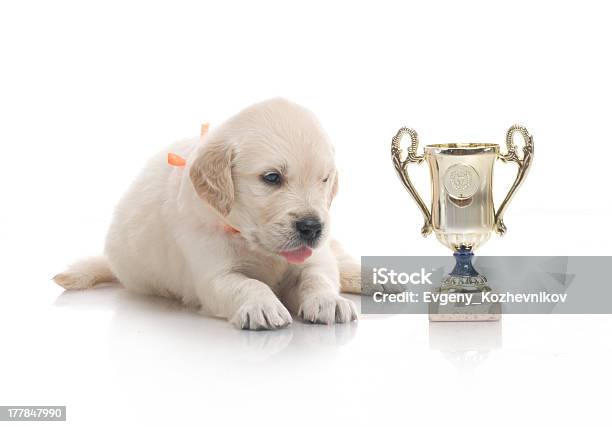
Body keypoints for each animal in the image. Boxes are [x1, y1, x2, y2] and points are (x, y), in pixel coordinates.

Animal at [53, 99, 358, 332]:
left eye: (324, 179)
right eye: (272, 177)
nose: (312, 227)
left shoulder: (316, 257)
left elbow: (318, 276)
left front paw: (329, 301)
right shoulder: (213, 275)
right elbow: (247, 284)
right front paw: (262, 304)